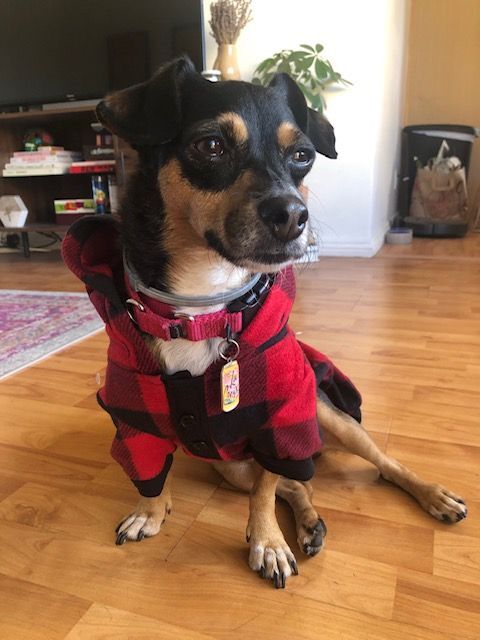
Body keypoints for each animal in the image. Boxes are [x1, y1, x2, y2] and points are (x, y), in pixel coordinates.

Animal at [70, 58, 464, 592]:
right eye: (211, 145)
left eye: (302, 155)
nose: (294, 215)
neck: (202, 307)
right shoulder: (133, 415)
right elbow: (154, 475)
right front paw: (150, 513)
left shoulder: (280, 420)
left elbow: (266, 489)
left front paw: (267, 542)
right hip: (232, 466)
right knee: (298, 485)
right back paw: (311, 522)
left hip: (329, 418)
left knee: (375, 465)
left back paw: (430, 495)